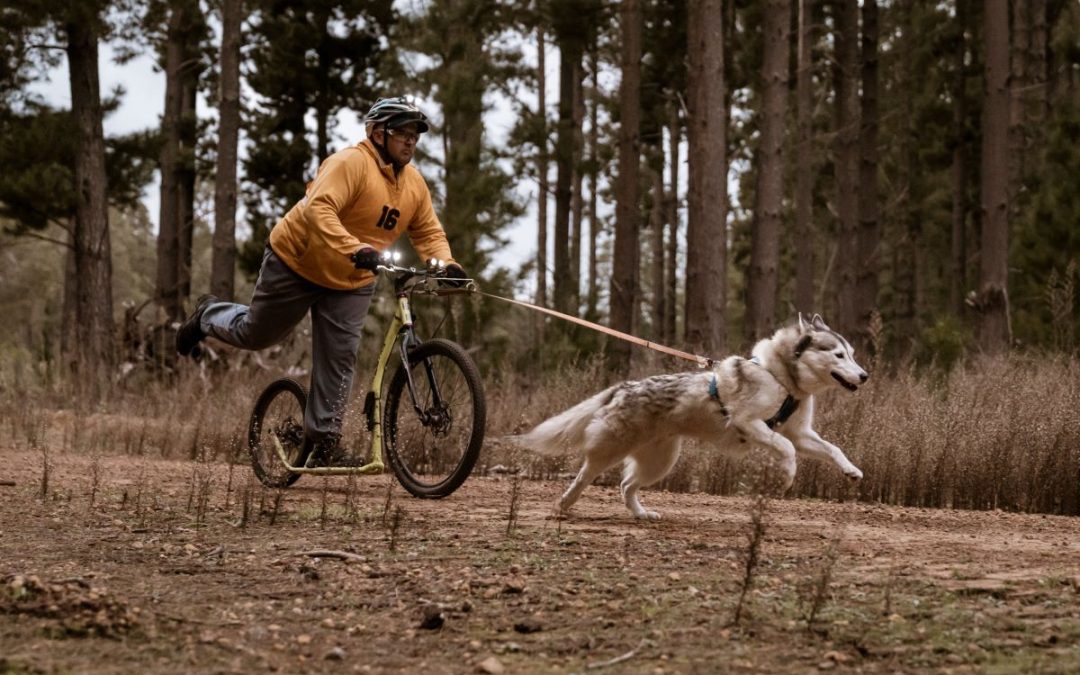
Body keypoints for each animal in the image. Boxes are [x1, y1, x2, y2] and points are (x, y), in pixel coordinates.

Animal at [511, 313, 868, 518]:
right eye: (839, 355)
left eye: (852, 354)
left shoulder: (802, 433)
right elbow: (787, 449)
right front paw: (788, 475)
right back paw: (563, 506)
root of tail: (624, 387)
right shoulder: (749, 423)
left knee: (626, 485)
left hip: (660, 461)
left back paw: (641, 514)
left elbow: (832, 448)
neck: (784, 380)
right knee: (584, 477)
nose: (865, 376)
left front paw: (850, 470)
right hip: (611, 451)